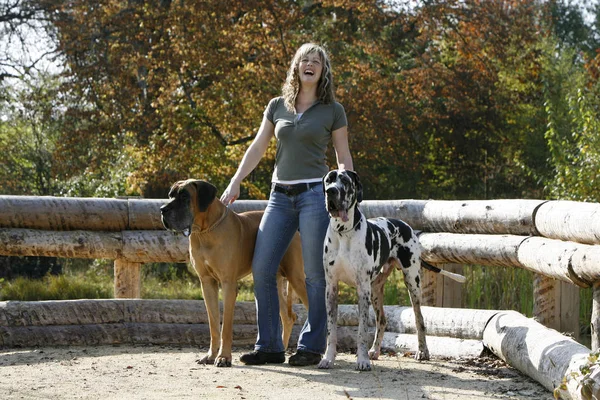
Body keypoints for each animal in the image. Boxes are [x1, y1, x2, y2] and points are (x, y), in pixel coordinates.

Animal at [161, 180, 308, 368]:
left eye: (184, 196)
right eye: (170, 195)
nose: (162, 209)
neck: (205, 231)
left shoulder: (228, 284)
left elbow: (226, 327)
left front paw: (224, 357)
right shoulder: (207, 283)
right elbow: (213, 324)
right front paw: (210, 355)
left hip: (296, 277)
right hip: (270, 278)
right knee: (288, 317)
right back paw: (278, 352)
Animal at [318, 170, 464, 372]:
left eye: (345, 181)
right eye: (329, 180)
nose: (331, 191)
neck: (344, 232)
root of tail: (405, 225)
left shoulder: (362, 289)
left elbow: (362, 330)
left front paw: (362, 360)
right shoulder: (331, 288)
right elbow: (331, 330)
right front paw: (328, 358)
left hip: (412, 284)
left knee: (420, 320)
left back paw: (422, 351)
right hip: (375, 291)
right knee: (382, 320)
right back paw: (375, 351)